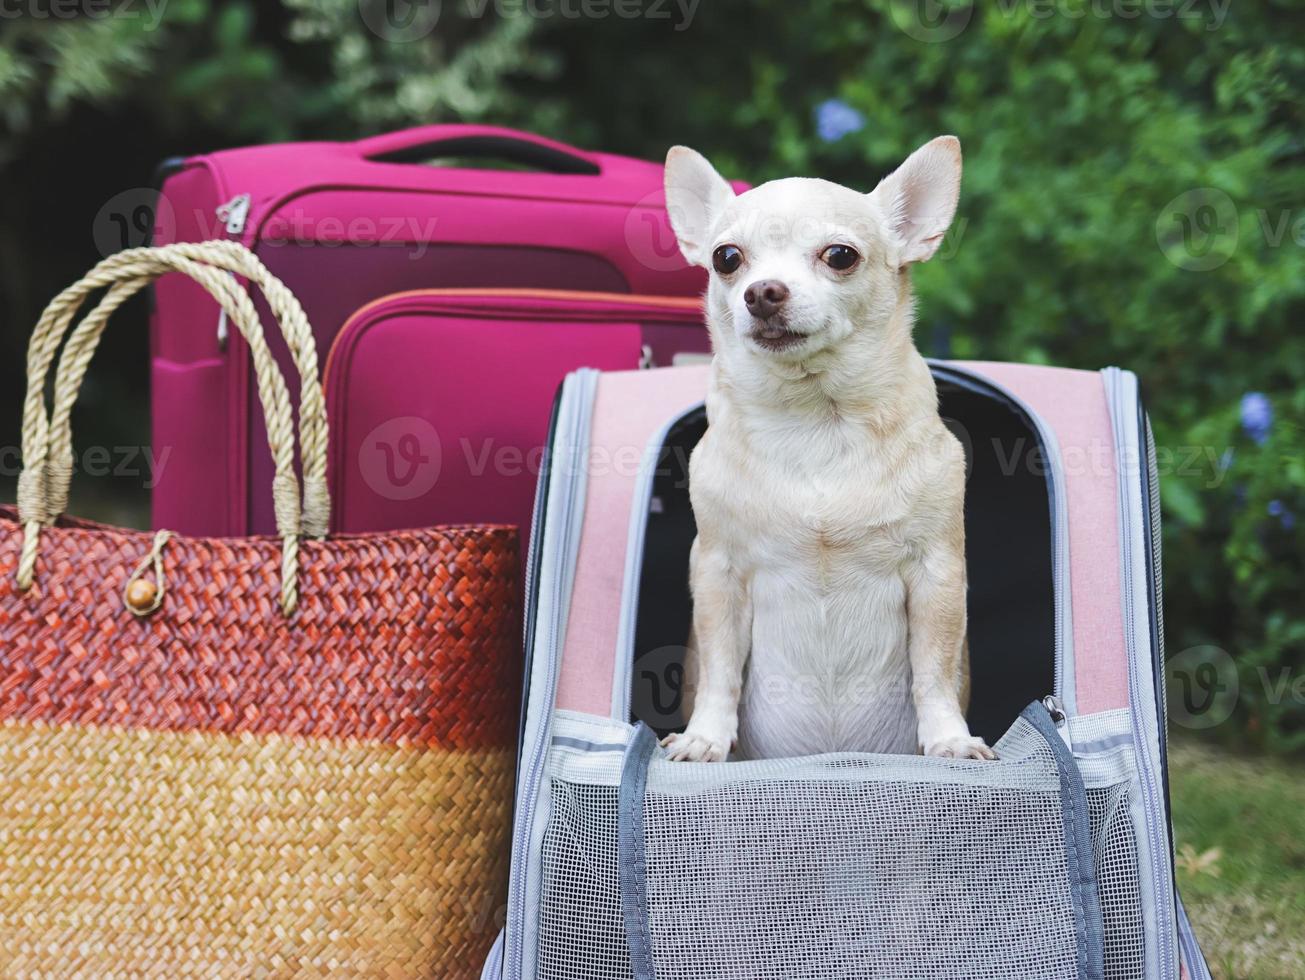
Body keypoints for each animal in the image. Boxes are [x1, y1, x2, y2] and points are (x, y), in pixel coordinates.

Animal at [657, 136, 991, 767]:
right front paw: (705, 737)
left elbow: (933, 669)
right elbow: (719, 669)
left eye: (840, 256)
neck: (814, 418)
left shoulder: (937, 573)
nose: (762, 292)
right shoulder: (717, 572)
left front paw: (950, 739)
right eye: (726, 259)